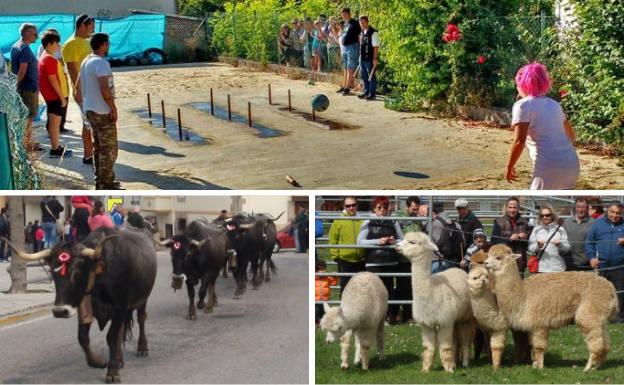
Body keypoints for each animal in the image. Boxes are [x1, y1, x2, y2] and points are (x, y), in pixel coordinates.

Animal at [4, 226, 157, 382]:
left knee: (141, 318)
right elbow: (83, 337)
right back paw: (119, 359)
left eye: (77, 274)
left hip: (143, 299)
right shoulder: (84, 305)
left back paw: (142, 348)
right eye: (53, 273)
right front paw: (98, 362)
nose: (60, 311)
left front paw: (112, 371)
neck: (101, 272)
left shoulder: (120, 306)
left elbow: (111, 336)